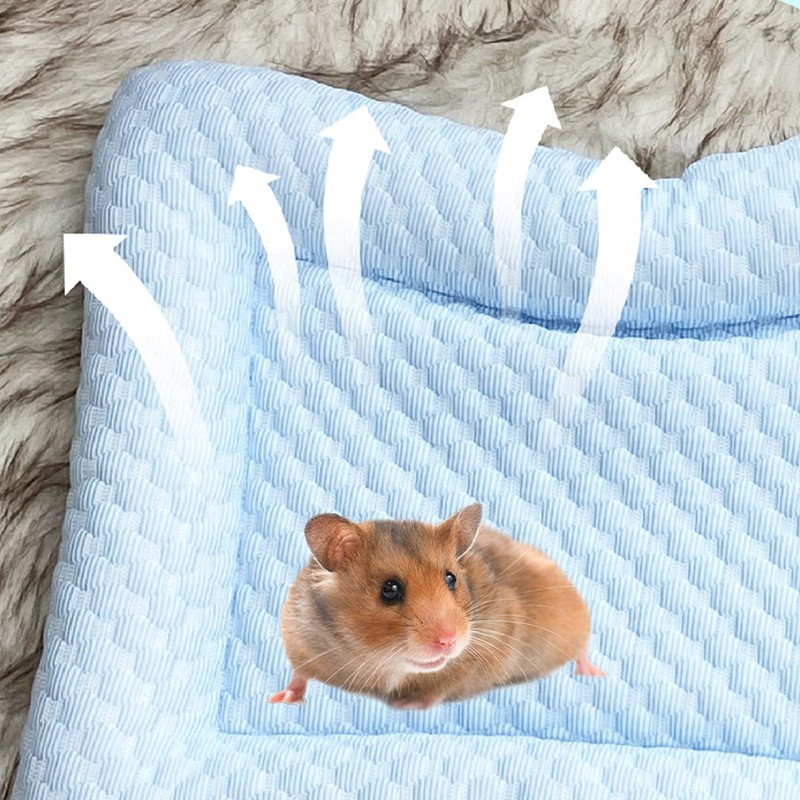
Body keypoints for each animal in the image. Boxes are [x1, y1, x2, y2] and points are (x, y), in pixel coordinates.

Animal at [270, 503, 603, 710]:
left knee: (582, 651)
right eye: (390, 590)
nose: (449, 641)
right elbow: (298, 676)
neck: (380, 661)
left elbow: (439, 688)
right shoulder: (298, 636)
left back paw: (595, 673)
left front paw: (405, 705)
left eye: (451, 578)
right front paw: (280, 699)